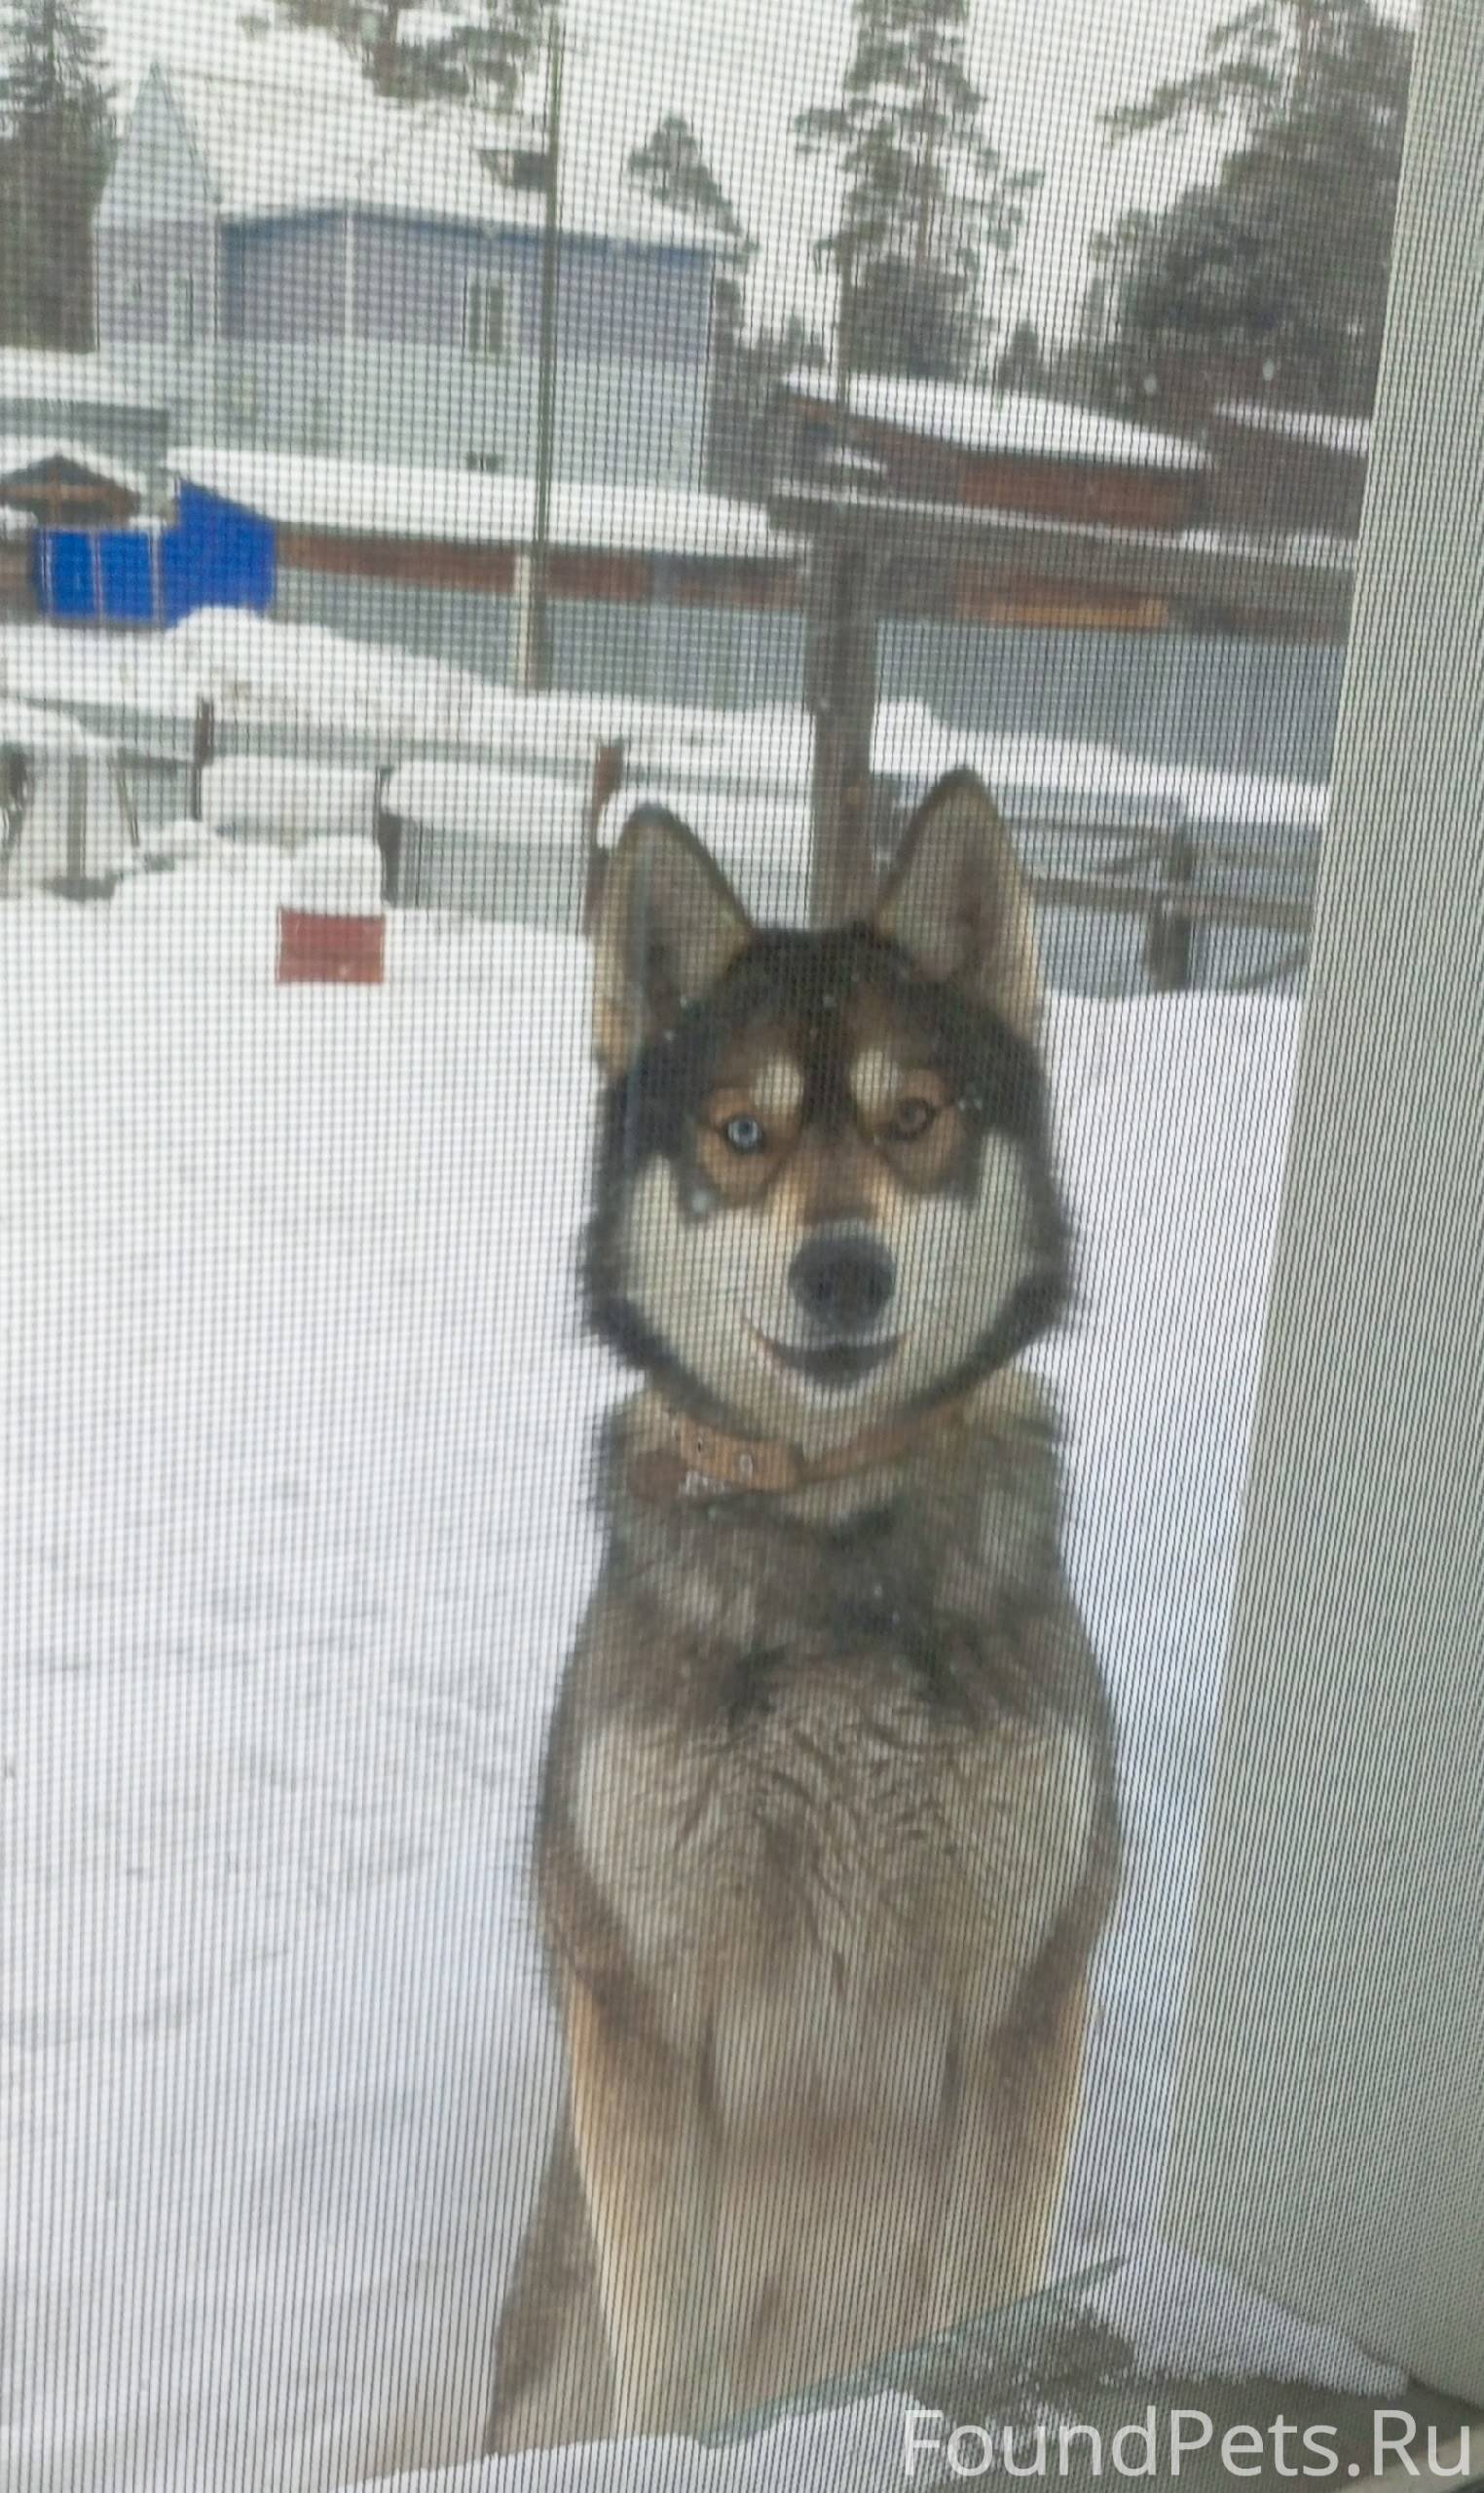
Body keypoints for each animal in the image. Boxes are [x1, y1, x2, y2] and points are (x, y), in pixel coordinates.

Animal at [486, 769, 1120, 2453]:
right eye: (743, 1133)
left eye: (915, 1119)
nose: (844, 1270)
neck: (835, 1539)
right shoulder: (641, 2012)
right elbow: (668, 2364)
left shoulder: (1021, 2003)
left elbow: (980, 2311)